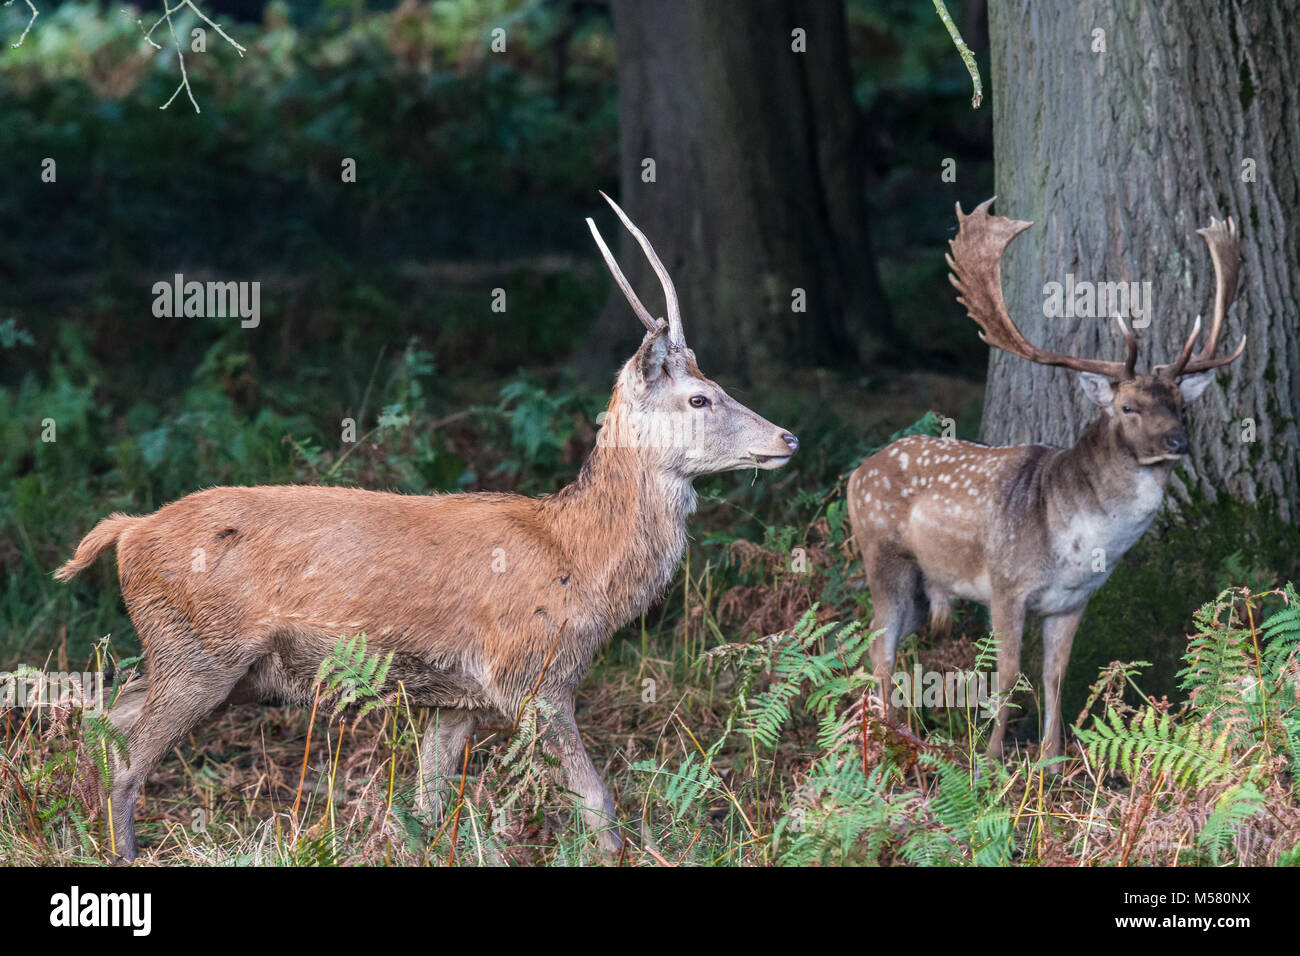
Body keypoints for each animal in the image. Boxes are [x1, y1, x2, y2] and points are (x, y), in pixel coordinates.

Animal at [55, 192, 800, 862]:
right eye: (699, 397)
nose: (787, 437)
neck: (578, 560)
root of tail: (128, 531)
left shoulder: (455, 698)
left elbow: (423, 810)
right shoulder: (531, 672)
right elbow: (596, 801)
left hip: (200, 659)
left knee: (107, 715)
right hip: (198, 650)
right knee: (127, 755)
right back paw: (118, 853)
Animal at [848, 197, 1245, 760]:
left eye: (1181, 407)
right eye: (1128, 407)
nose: (1177, 442)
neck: (1077, 543)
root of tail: (856, 474)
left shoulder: (1073, 601)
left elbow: (1056, 676)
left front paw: (1052, 760)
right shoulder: (1006, 584)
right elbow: (1009, 675)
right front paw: (993, 759)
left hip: (927, 586)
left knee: (883, 644)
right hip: (883, 556)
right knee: (878, 647)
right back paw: (889, 743)